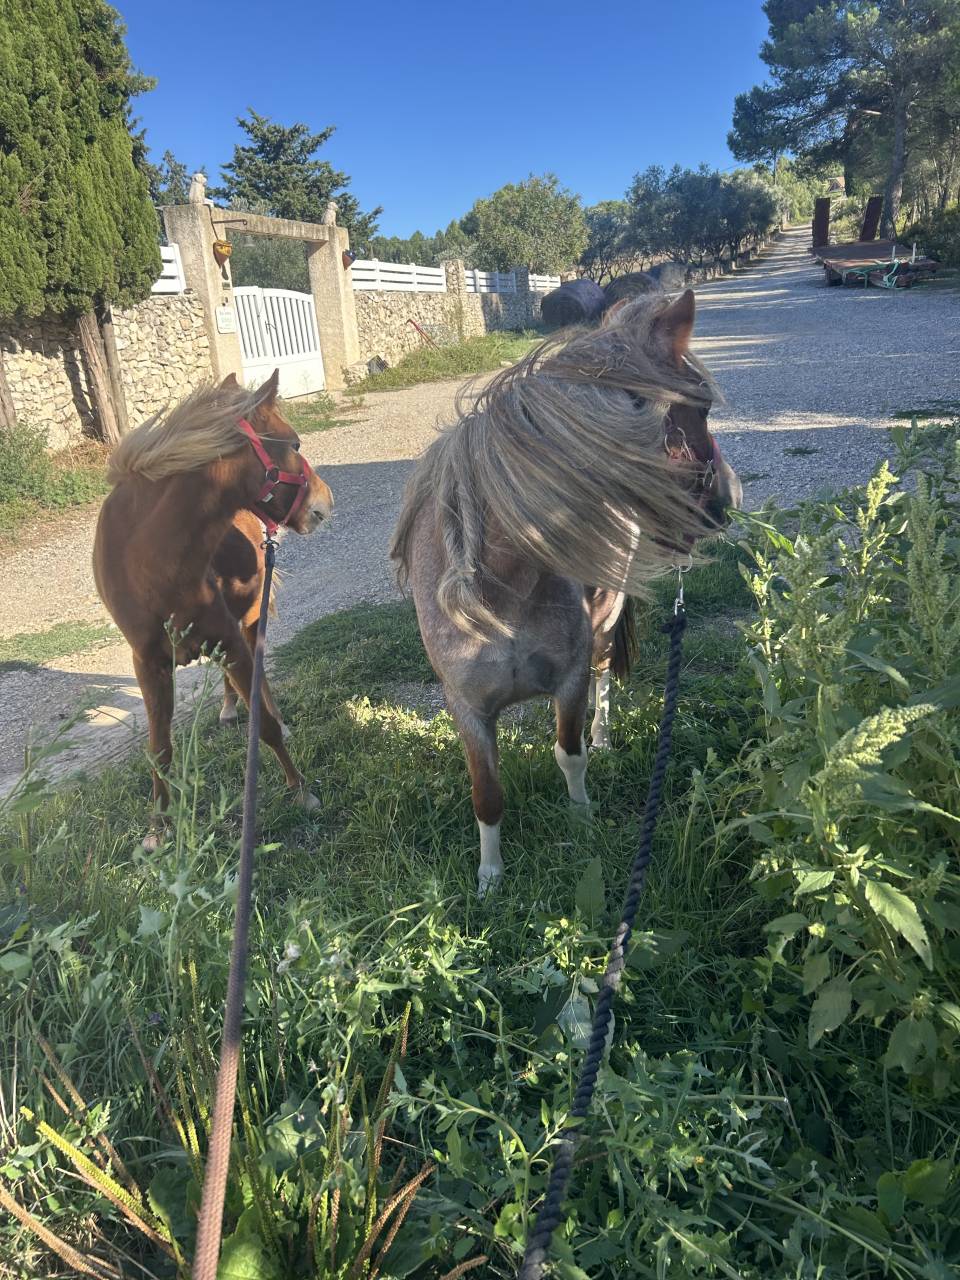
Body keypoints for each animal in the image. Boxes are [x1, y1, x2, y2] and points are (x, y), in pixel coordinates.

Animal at [93, 369, 333, 847]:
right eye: (294, 443)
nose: (325, 503)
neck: (153, 563)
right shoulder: (149, 666)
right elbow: (159, 750)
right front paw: (159, 828)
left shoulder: (229, 640)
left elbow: (265, 725)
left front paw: (300, 791)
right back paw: (226, 707)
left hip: (250, 621)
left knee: (260, 680)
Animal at [391, 290, 741, 892]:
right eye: (700, 410)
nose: (727, 499)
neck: (498, 591)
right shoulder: (467, 708)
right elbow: (487, 795)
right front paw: (490, 878)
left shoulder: (571, 679)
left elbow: (570, 753)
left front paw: (582, 821)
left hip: (603, 632)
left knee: (603, 683)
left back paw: (604, 736)